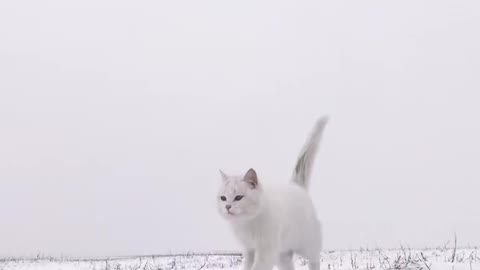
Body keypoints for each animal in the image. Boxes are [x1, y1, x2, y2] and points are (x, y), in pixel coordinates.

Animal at [218, 117, 328, 270]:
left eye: (238, 197)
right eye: (223, 198)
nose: (227, 207)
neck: (246, 223)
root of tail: (295, 186)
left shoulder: (266, 251)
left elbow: (256, 267)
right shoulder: (249, 249)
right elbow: (247, 266)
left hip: (307, 246)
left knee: (315, 259)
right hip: (283, 255)